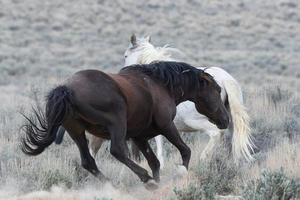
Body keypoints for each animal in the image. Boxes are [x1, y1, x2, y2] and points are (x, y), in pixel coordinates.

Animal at [21, 61, 229, 189]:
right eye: (217, 90)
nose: (225, 120)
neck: (160, 85)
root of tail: (66, 89)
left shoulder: (139, 136)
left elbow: (154, 162)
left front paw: (159, 181)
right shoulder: (166, 126)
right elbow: (185, 150)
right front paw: (180, 173)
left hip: (77, 131)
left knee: (88, 161)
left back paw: (112, 184)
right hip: (116, 122)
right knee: (117, 151)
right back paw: (146, 180)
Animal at [88, 34, 253, 167]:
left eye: (125, 56)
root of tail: (226, 79)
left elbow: (159, 146)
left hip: (199, 121)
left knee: (216, 134)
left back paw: (204, 159)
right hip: (230, 121)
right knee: (235, 141)